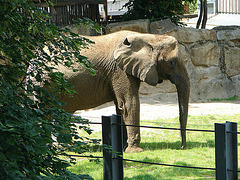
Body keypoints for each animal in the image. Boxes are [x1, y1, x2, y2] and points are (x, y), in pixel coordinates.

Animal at [57, 30, 190, 153]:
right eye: (172, 62)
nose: (182, 147)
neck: (148, 37)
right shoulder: (120, 70)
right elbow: (129, 103)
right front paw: (135, 151)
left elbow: (120, 106)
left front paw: (122, 148)